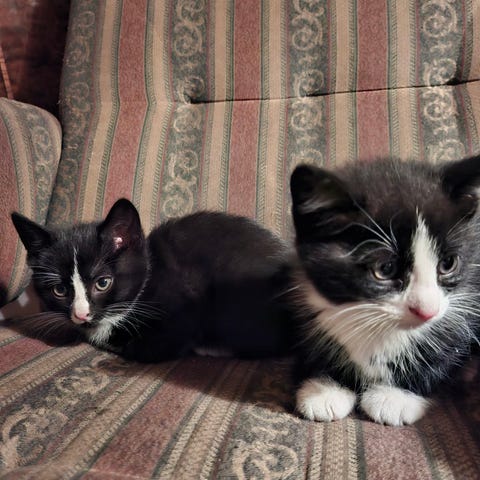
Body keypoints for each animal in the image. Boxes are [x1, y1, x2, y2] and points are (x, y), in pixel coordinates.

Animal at [289, 157, 480, 426]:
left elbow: (448, 348)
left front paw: (396, 396)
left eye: (448, 264)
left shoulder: (465, 303)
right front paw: (326, 389)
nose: (428, 311)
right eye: (385, 268)